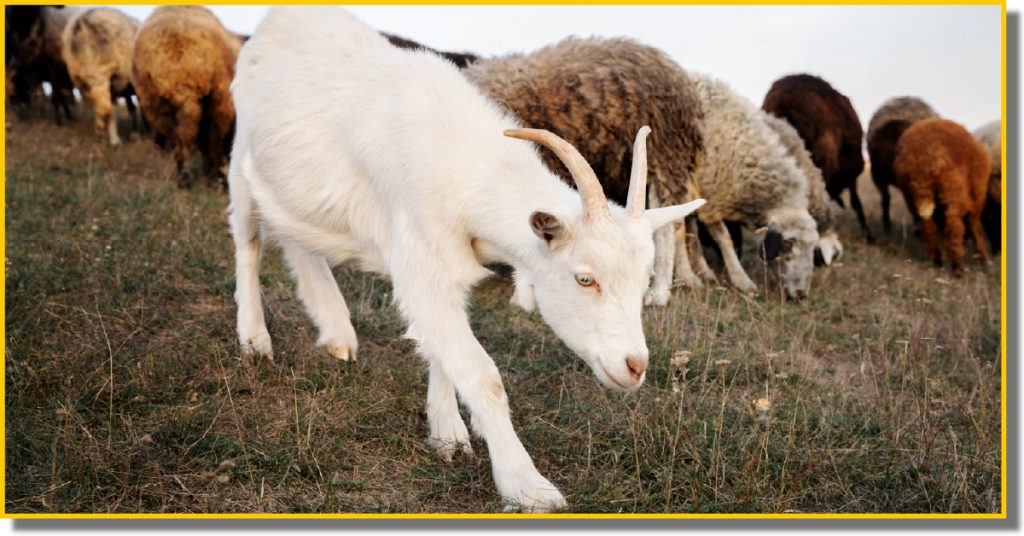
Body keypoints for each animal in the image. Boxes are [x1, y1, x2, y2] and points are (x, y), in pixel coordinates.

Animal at [61, 8, 141, 146]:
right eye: (83, 79)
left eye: (112, 72)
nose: (99, 128)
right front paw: (103, 134)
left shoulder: (115, 82)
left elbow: (111, 110)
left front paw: (114, 140)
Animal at [131, 6, 244, 187]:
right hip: (216, 99)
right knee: (210, 139)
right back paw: (214, 177)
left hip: (157, 104)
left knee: (179, 138)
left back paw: (184, 178)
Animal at [892, 118, 990, 277]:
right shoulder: (976, 200)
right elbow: (975, 226)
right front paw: (983, 259)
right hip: (953, 190)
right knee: (954, 223)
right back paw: (958, 267)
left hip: (912, 198)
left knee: (928, 226)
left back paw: (938, 261)